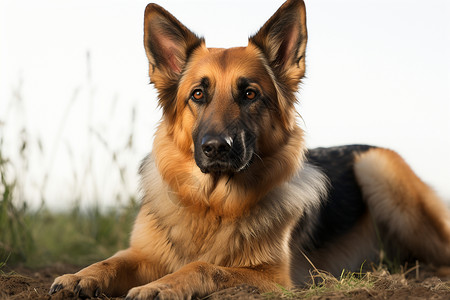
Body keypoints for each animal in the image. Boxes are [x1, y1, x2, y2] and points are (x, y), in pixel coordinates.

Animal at [49, 1, 450, 298]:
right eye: (198, 94)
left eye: (250, 94)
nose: (216, 148)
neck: (211, 205)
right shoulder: (143, 253)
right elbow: (112, 260)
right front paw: (80, 276)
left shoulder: (273, 278)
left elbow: (204, 266)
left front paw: (162, 286)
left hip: (375, 166)